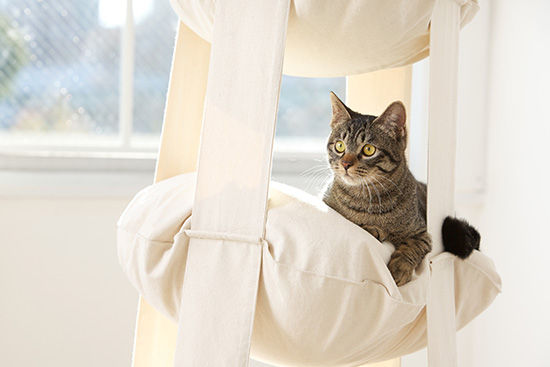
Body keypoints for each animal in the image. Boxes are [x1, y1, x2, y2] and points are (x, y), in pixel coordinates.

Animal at [322, 92, 480, 288]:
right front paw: (375, 230)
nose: (345, 164)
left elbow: (413, 246)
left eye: (368, 149)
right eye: (340, 146)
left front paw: (400, 267)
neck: (365, 198)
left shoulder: (422, 232)